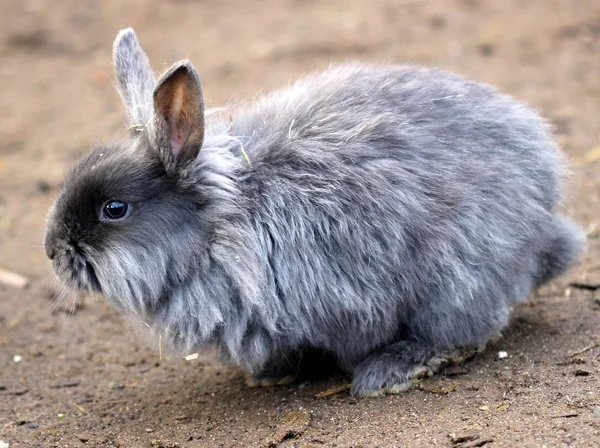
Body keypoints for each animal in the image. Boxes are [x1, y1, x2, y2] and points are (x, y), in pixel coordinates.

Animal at [43, 28, 584, 398]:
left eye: (114, 209)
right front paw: (272, 375)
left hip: (459, 280)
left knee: (468, 330)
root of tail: (547, 215)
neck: (224, 229)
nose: (52, 251)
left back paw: (390, 372)